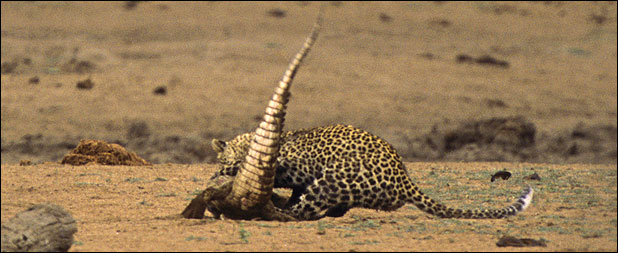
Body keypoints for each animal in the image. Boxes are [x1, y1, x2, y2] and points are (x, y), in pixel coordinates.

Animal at [209, 123, 532, 220]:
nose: (220, 166)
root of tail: (405, 179)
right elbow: (295, 191)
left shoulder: (291, 165)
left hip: (333, 178)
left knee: (305, 211)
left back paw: (277, 213)